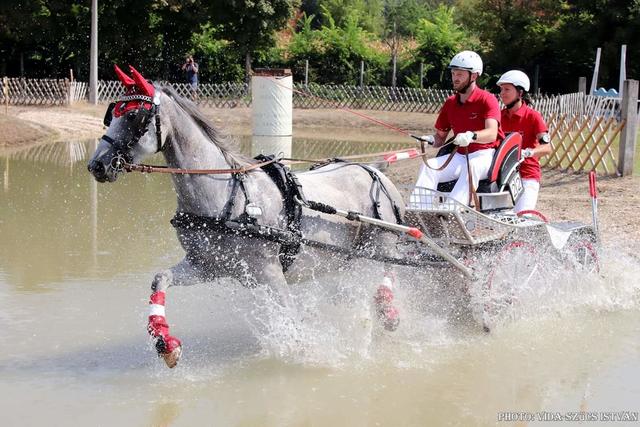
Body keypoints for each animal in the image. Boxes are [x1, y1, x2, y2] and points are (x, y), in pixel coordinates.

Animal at [87, 66, 404, 368]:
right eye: (111, 115)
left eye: (133, 116)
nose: (97, 165)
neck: (226, 196)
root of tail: (374, 170)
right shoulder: (206, 266)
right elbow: (160, 279)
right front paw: (165, 342)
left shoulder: (271, 273)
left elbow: (292, 317)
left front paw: (309, 353)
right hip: (345, 262)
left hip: (379, 248)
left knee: (386, 275)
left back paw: (387, 312)